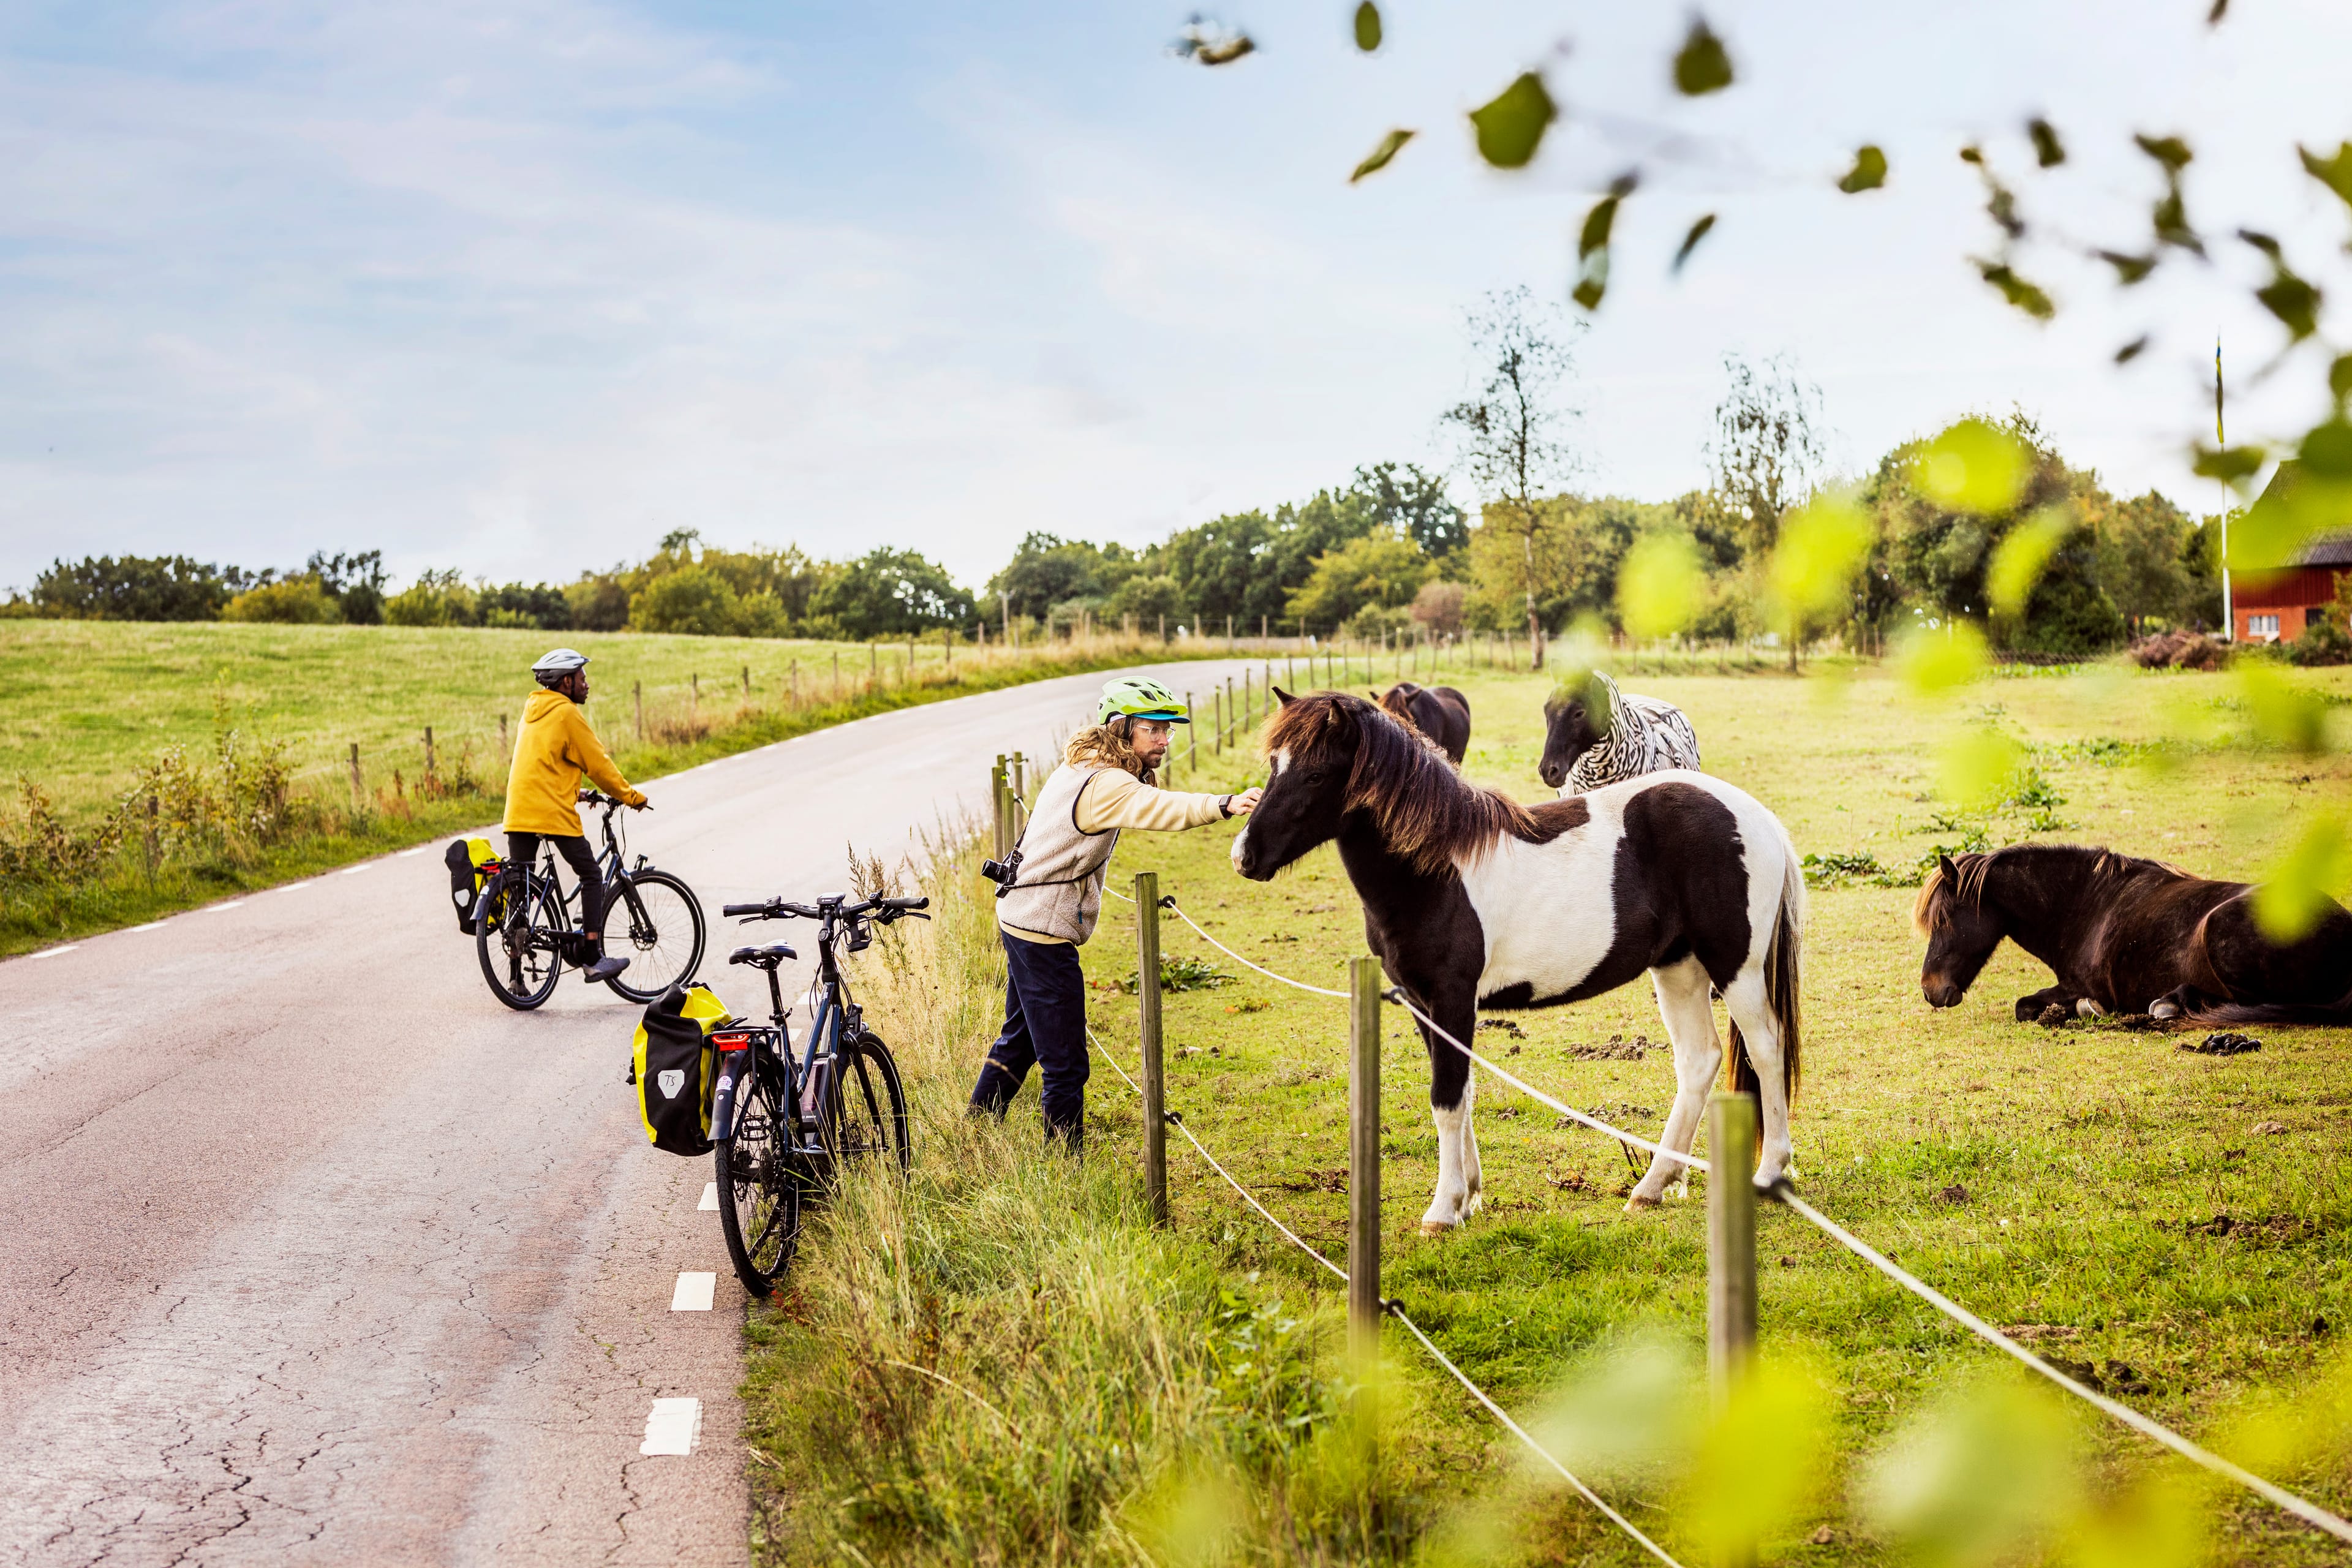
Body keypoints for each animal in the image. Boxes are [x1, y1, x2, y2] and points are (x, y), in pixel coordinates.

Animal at [1223, 691, 1806, 1232]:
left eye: (1316, 773)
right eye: (1274, 764)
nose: (1244, 857)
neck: (1437, 869)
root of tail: (1758, 817)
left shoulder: (1452, 998)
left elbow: (1447, 1099)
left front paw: (1442, 1210)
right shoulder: (1421, 1003)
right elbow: (1460, 1092)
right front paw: (1468, 1195)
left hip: (1735, 967)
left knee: (1765, 1048)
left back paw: (1769, 1173)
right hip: (1678, 967)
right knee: (1699, 1060)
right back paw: (1652, 1186)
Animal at [1910, 846, 2352, 1030]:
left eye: (1945, 919)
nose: (1931, 990)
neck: (2087, 904)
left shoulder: (2080, 985)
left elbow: (2025, 1006)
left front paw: (2087, 1010)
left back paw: (2168, 1005)